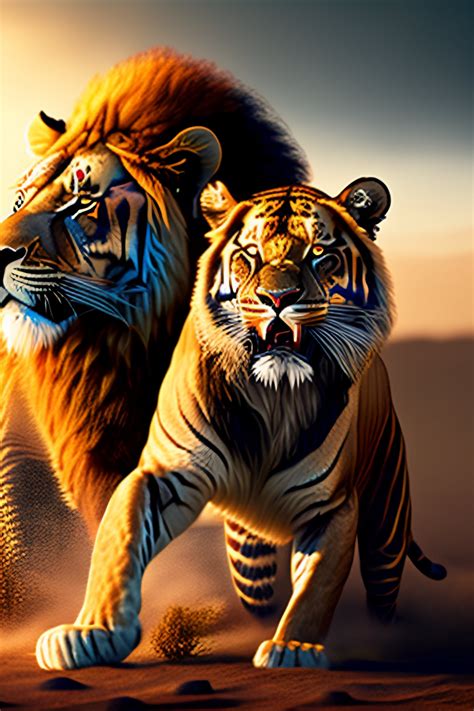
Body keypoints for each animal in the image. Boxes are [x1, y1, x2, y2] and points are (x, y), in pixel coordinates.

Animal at [35, 179, 446, 670]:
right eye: (250, 255)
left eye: (319, 254)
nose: (278, 300)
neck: (274, 396)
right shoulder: (161, 474)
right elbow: (118, 544)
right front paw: (92, 632)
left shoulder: (332, 508)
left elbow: (317, 586)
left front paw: (295, 649)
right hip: (249, 557)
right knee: (257, 595)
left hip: (386, 525)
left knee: (383, 596)